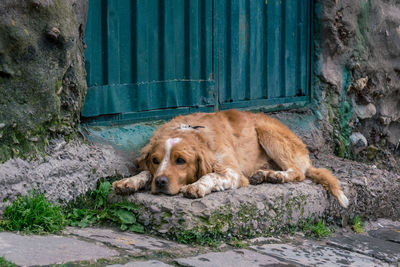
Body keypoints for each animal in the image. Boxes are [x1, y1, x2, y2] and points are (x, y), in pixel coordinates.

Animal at [113, 110, 350, 208]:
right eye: (155, 160)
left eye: (181, 160)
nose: (161, 183)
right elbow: (144, 172)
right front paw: (129, 181)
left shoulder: (233, 173)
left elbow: (210, 177)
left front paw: (196, 187)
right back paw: (264, 174)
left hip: (267, 132)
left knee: (298, 173)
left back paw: (274, 176)